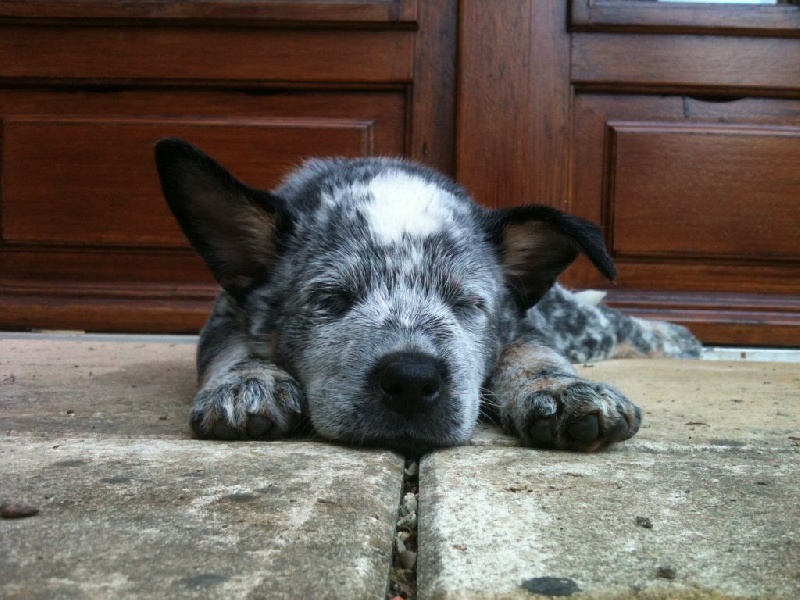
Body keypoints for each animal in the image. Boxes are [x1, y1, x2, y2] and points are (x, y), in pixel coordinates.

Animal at [155, 139, 701, 455]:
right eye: (332, 299)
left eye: (467, 304)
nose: (412, 378)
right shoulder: (225, 313)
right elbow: (233, 348)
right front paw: (248, 383)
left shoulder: (524, 326)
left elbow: (530, 350)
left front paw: (563, 389)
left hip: (579, 323)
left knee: (621, 326)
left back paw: (682, 339)